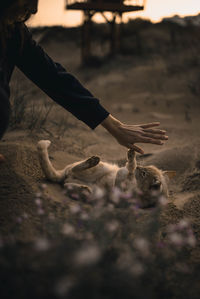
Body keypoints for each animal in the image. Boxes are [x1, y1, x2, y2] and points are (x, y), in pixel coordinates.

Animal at [37, 141, 175, 209]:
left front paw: (130, 166)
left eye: (143, 173)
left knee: (68, 184)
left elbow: (125, 172)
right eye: (146, 168)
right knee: (73, 172)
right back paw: (92, 162)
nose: (139, 167)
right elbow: (128, 167)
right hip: (100, 168)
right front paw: (131, 155)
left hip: (95, 192)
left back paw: (84, 189)